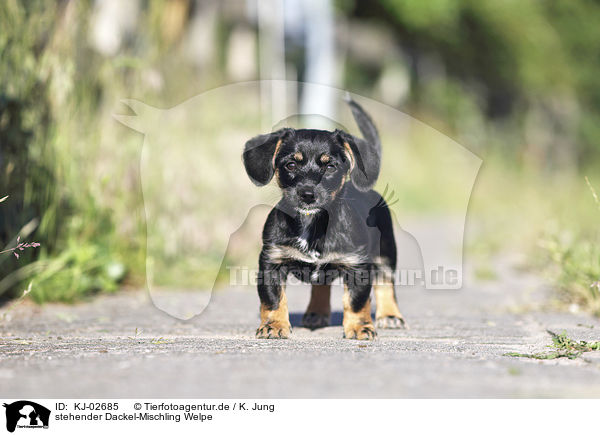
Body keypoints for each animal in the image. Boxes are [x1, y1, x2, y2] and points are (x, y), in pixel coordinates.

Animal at [241, 98, 406, 340]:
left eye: (330, 166)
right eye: (291, 164)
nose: (308, 194)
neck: (313, 222)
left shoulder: (357, 265)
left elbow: (356, 301)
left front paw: (359, 327)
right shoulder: (272, 262)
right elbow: (273, 299)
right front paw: (274, 325)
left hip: (386, 252)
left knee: (386, 283)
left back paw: (391, 315)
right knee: (321, 286)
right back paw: (316, 312)